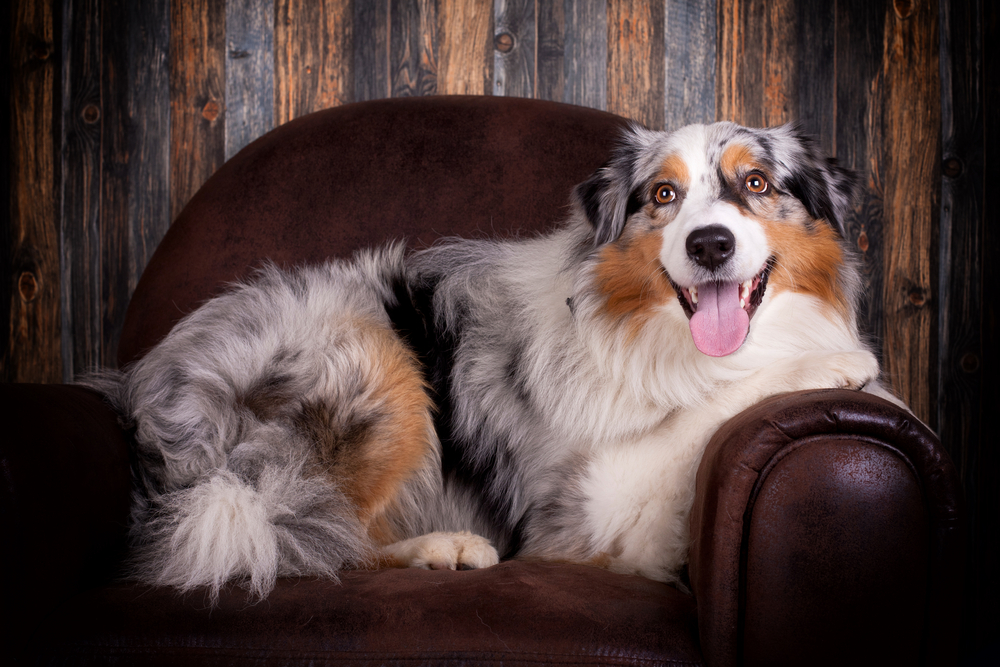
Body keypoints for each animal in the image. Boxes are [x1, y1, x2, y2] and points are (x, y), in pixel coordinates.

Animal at [84, 121, 900, 604]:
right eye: (663, 195)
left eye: (756, 183)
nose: (709, 245)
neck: (665, 341)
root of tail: (136, 388)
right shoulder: (582, 512)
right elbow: (697, 414)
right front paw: (834, 363)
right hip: (373, 359)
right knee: (299, 539)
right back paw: (444, 547)